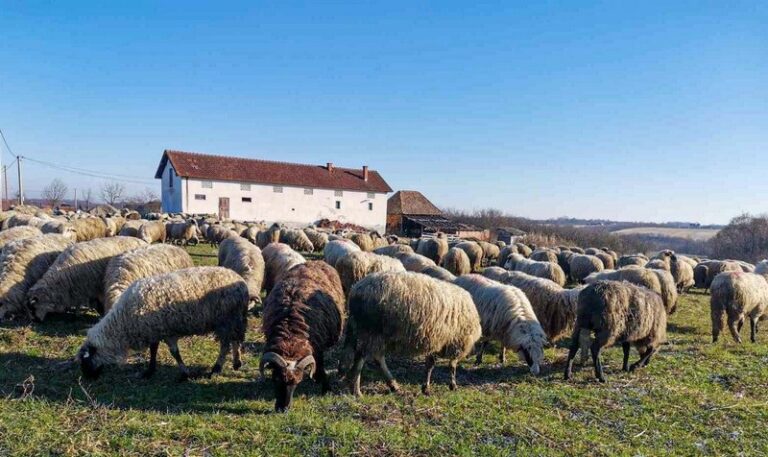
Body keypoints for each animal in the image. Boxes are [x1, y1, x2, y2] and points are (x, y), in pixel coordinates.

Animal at [77, 266, 249, 380]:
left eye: (85, 362)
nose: (87, 379)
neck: (122, 322)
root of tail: (240, 281)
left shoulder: (167, 331)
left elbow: (175, 353)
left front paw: (184, 373)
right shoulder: (154, 329)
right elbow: (153, 350)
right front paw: (150, 370)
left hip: (226, 320)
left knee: (226, 345)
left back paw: (216, 369)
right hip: (234, 319)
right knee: (235, 340)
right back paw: (237, 362)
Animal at [260, 260, 344, 410]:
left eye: (297, 382)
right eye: (276, 379)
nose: (283, 409)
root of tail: (315, 261)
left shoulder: (317, 346)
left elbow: (320, 365)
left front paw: (326, 387)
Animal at [342, 270, 480, 396]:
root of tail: (356, 289)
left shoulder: (435, 339)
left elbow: (430, 364)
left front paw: (426, 388)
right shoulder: (455, 340)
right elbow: (452, 365)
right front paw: (452, 385)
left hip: (376, 334)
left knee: (377, 357)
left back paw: (393, 385)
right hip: (372, 331)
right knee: (361, 357)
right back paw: (356, 390)